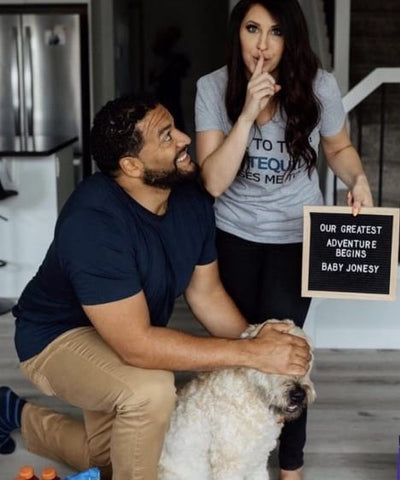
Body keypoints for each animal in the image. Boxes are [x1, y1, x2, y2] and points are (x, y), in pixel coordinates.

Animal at [158, 318, 314, 480]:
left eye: (306, 362)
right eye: (280, 362)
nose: (298, 395)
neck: (253, 398)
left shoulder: (258, 460)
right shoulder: (229, 465)